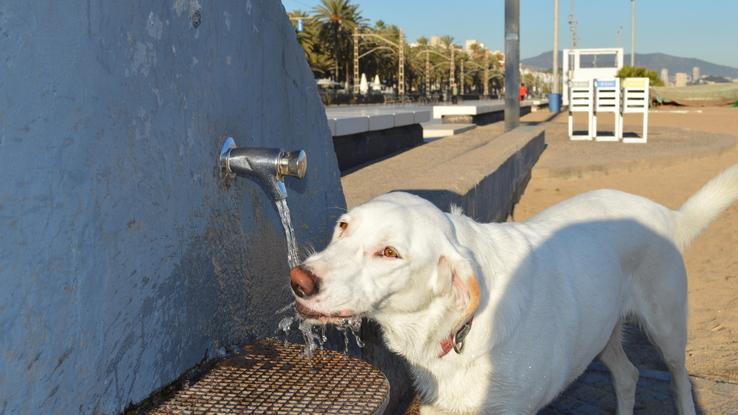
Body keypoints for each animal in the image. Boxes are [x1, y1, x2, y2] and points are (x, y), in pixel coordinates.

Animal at [288, 164, 736, 414]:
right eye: (344, 226)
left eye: (389, 252)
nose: (299, 280)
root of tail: (664, 213)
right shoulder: (440, 406)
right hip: (600, 331)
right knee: (627, 376)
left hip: (667, 329)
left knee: (678, 380)